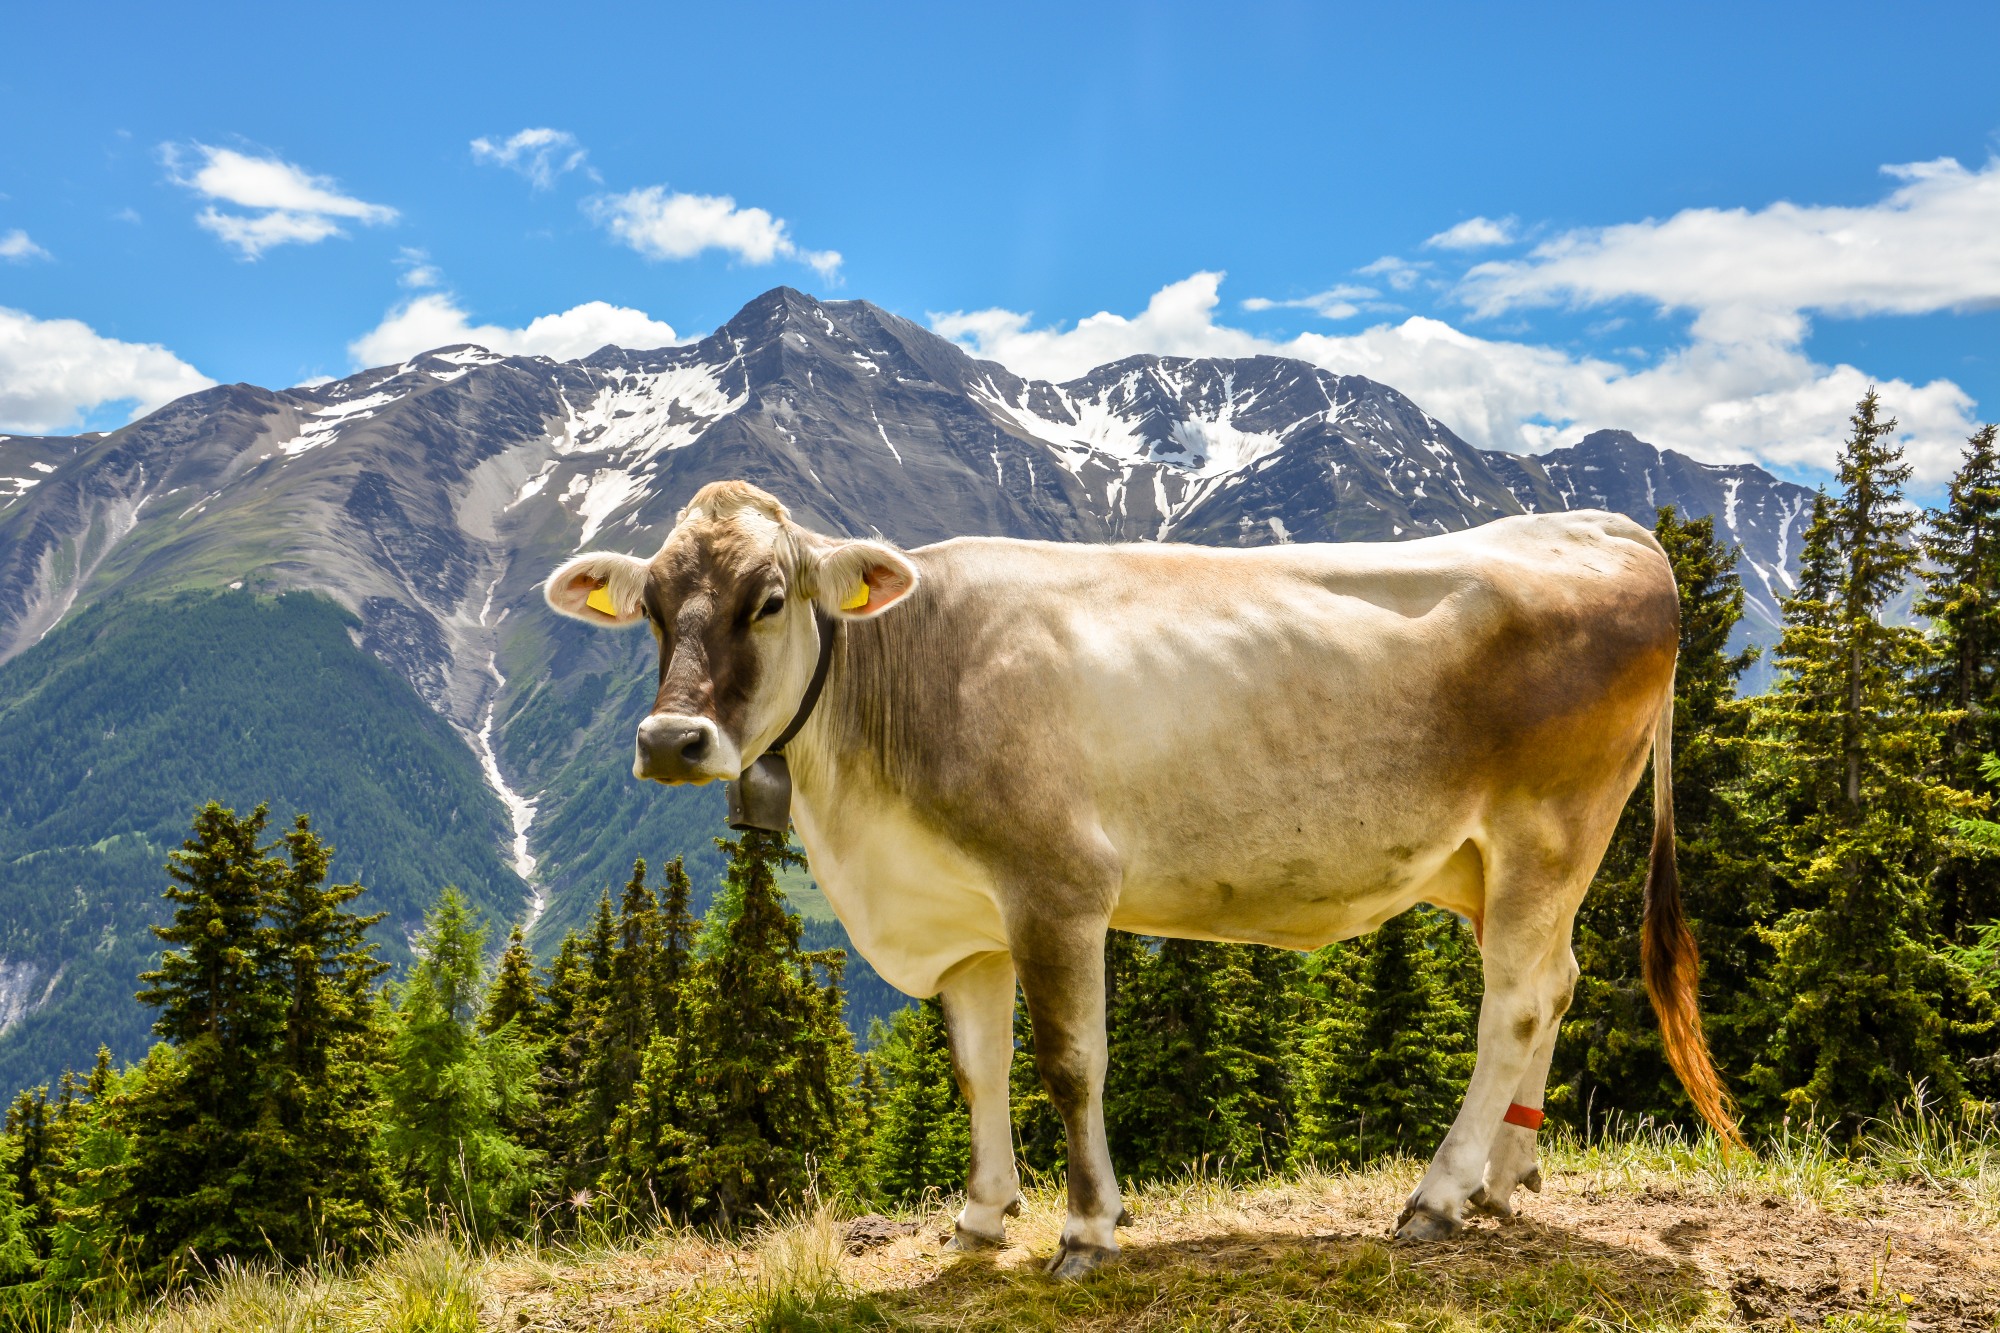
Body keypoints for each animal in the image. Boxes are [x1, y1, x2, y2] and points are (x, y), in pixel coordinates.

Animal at [545, 479, 1737, 1277]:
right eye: (653, 607)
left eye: (769, 598)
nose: (671, 740)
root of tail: (1609, 527)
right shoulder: (964, 918)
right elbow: (978, 1068)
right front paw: (981, 1216)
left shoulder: (1057, 887)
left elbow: (1070, 1063)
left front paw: (1085, 1229)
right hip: (1495, 863)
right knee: (1557, 980)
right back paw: (1504, 1176)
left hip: (1551, 827)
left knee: (1515, 1002)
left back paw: (1438, 1198)